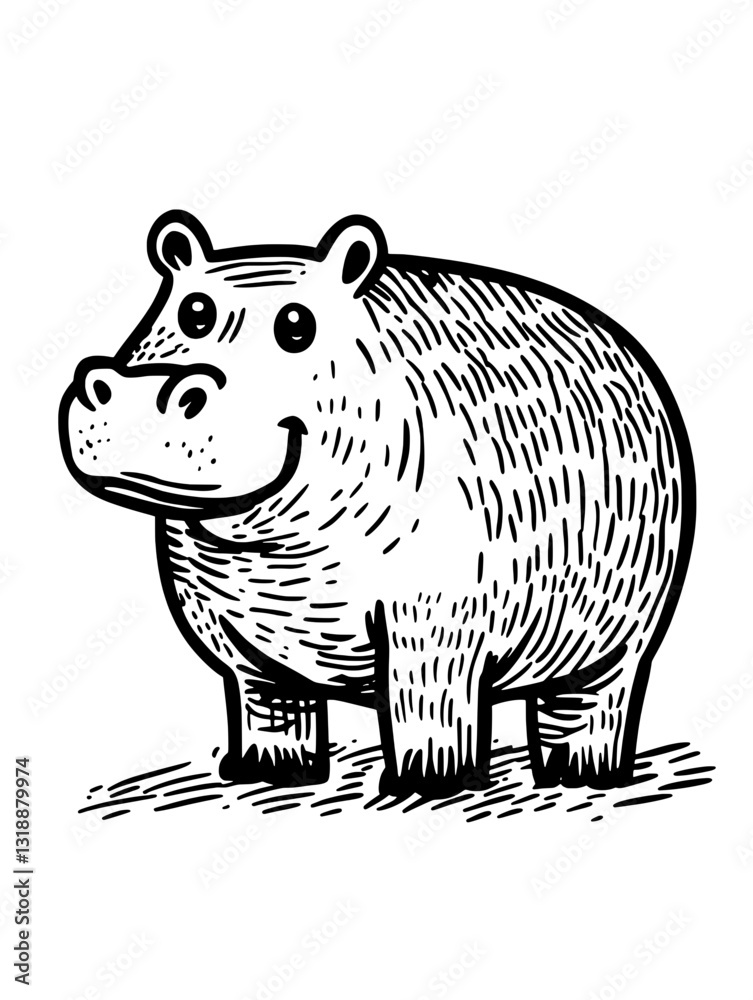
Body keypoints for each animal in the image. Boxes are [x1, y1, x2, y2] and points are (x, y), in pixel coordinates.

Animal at [59, 211, 695, 797]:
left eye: (297, 325)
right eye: (194, 312)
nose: (138, 389)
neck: (268, 547)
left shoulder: (436, 621)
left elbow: (426, 707)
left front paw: (428, 784)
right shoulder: (228, 629)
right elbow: (268, 706)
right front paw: (268, 774)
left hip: (624, 634)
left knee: (592, 701)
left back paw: (588, 777)